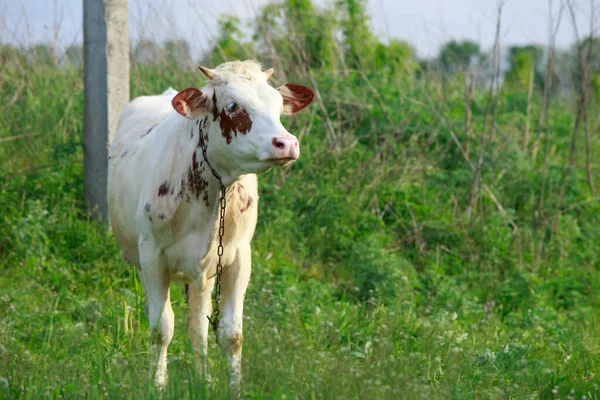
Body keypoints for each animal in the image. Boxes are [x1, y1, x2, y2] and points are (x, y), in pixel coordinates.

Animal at [106, 61, 314, 396]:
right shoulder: (152, 257)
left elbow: (230, 334)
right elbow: (161, 328)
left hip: (203, 274)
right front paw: (158, 385)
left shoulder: (239, 258)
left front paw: (232, 388)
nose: (286, 144)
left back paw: (202, 377)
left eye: (278, 104)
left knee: (198, 327)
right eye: (232, 106)